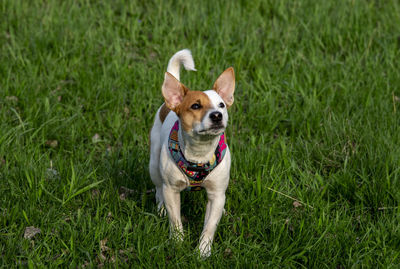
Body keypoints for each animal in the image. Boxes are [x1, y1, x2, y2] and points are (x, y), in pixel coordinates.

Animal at [150, 49, 234, 256]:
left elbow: (210, 225)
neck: (200, 152)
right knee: (158, 188)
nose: (217, 115)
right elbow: (175, 220)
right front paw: (177, 243)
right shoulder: (172, 190)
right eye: (196, 106)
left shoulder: (216, 194)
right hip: (154, 164)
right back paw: (161, 207)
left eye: (221, 105)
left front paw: (202, 251)